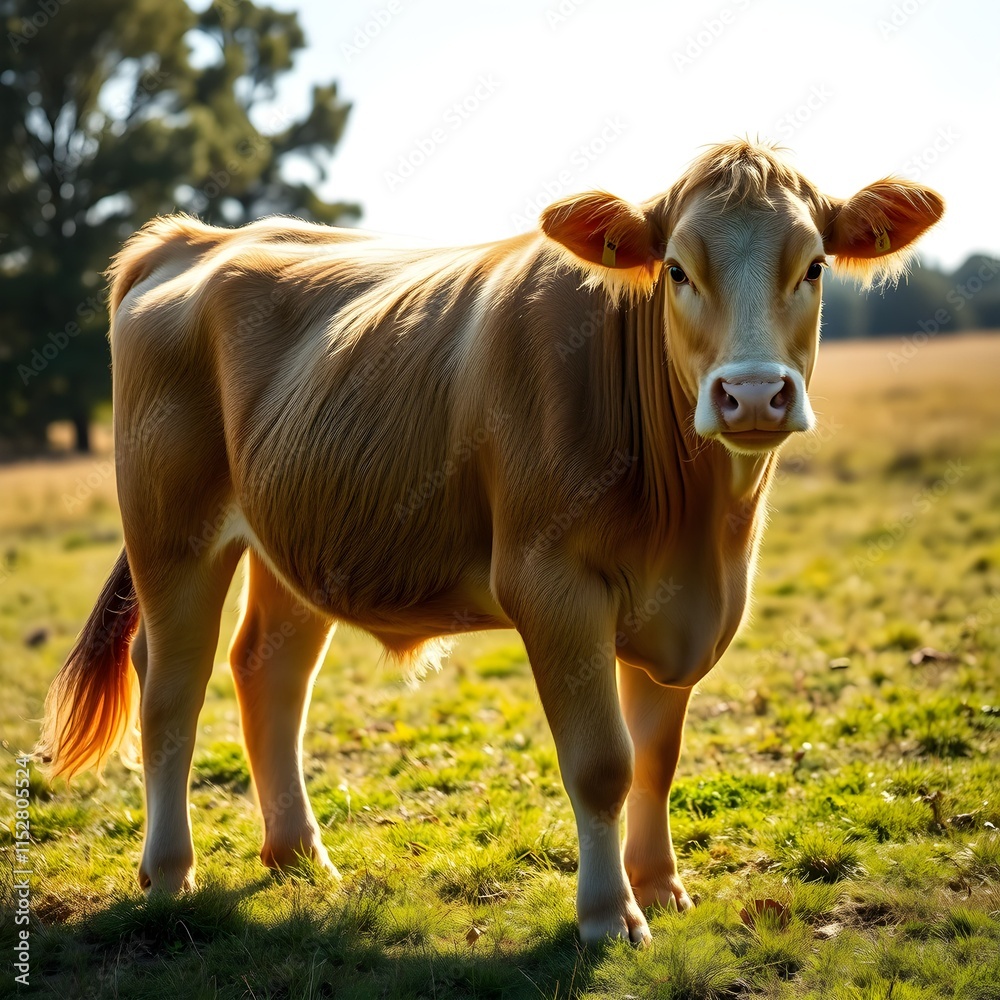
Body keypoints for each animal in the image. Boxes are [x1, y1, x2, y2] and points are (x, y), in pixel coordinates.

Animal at [38, 140, 943, 945]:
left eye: (814, 266)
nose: (752, 394)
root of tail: (192, 239)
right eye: (678, 271)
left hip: (292, 533)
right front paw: (609, 915)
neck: (695, 527)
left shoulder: (687, 608)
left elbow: (657, 756)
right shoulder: (552, 585)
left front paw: (661, 886)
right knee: (171, 685)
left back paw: (299, 859)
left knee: (268, 669)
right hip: (172, 528)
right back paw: (170, 873)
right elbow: (603, 763)